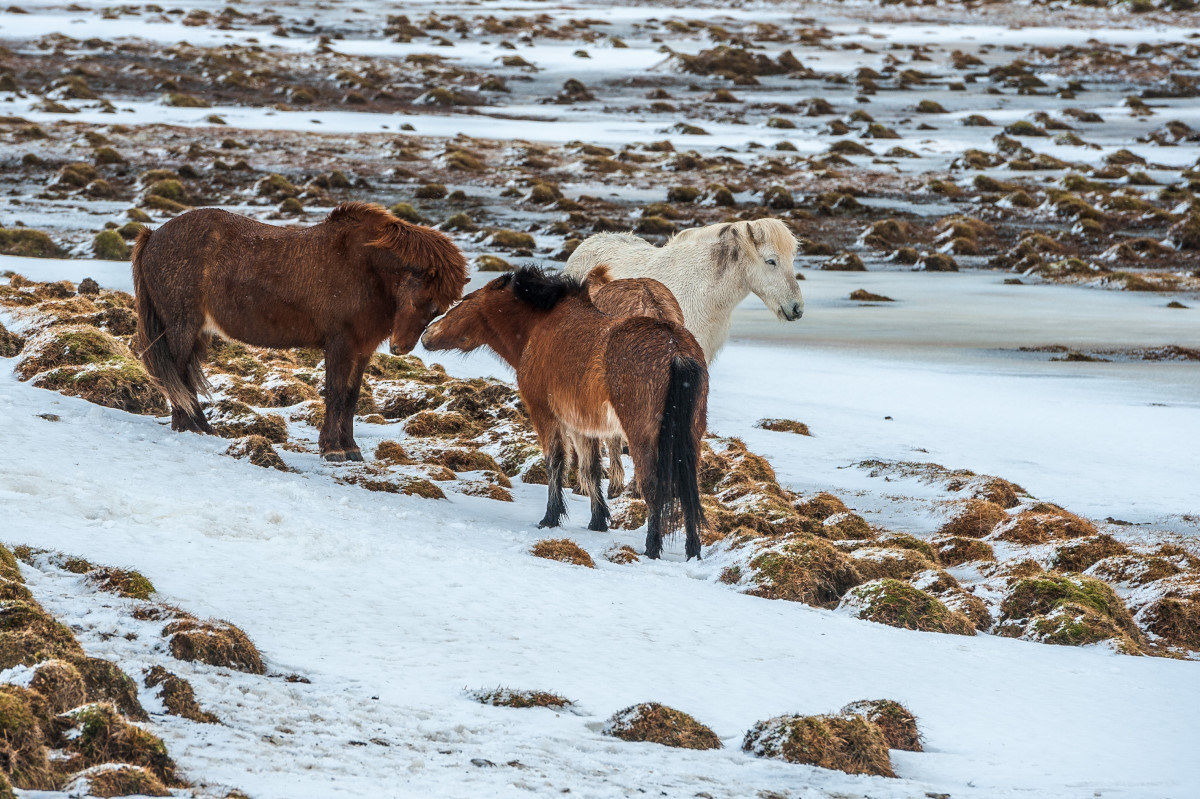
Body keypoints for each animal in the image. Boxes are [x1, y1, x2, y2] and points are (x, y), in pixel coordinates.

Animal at [132, 202, 468, 461]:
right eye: (419, 298)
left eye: (438, 309)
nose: (400, 347)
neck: (364, 268)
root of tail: (153, 236)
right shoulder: (340, 344)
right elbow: (335, 393)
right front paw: (333, 449)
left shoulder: (362, 349)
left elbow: (351, 397)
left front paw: (350, 448)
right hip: (182, 326)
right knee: (177, 372)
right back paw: (186, 425)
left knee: (185, 373)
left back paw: (202, 426)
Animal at [421, 266, 708, 560]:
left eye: (466, 299)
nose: (427, 333)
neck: (541, 326)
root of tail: (676, 350)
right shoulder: (583, 424)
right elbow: (591, 469)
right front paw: (598, 520)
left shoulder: (546, 414)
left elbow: (555, 461)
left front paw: (551, 517)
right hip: (691, 434)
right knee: (689, 487)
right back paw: (693, 550)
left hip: (642, 436)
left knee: (653, 486)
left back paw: (652, 548)